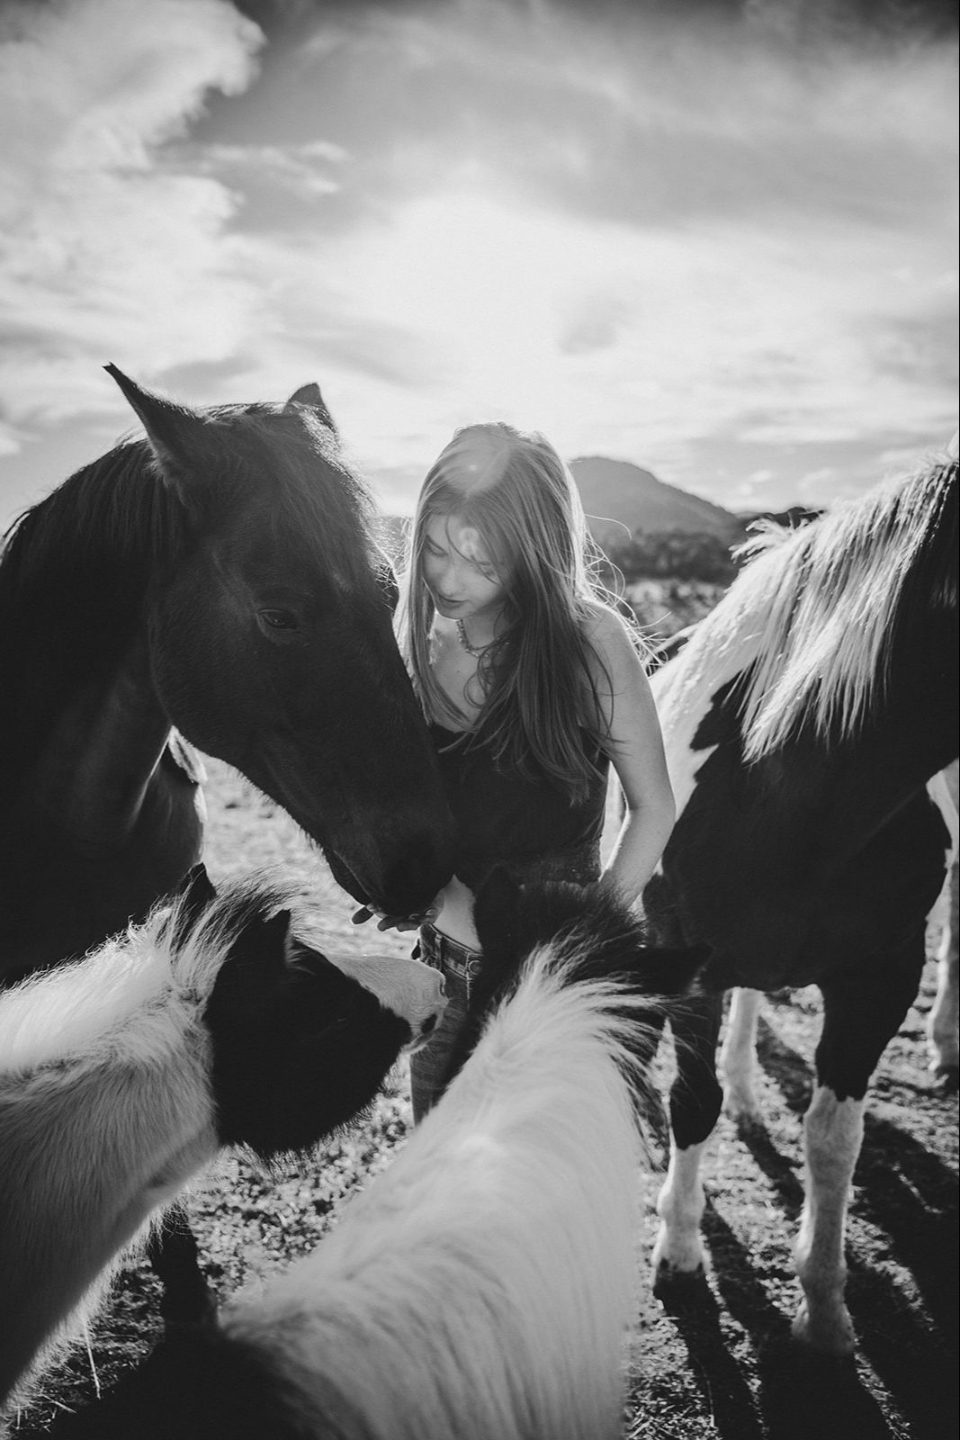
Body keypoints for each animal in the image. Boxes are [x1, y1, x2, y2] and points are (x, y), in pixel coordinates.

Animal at [642, 449, 958, 1356]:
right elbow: (692, 1105)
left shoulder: (882, 978)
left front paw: (821, 1308)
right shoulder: (689, 964)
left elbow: (833, 1140)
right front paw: (680, 1252)